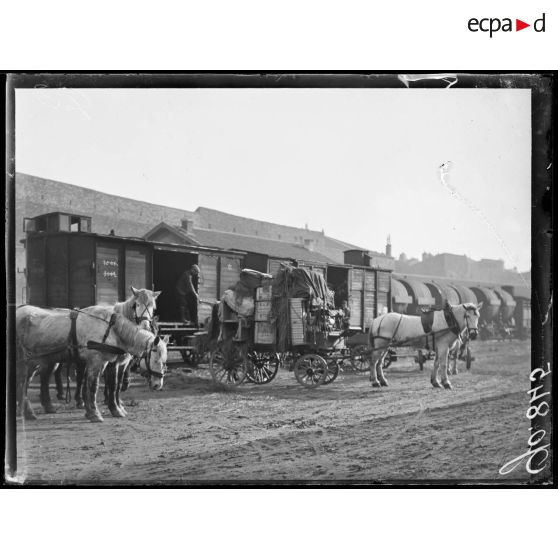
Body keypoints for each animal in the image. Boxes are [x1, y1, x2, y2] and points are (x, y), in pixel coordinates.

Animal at [16, 306, 167, 424]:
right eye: (156, 360)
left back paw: (27, 412)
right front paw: (95, 414)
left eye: (164, 361)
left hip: (33, 362)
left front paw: (112, 410)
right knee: (22, 383)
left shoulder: (107, 363)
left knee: (24, 384)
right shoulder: (96, 361)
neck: (110, 328)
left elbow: (110, 386)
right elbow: (94, 386)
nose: (158, 385)